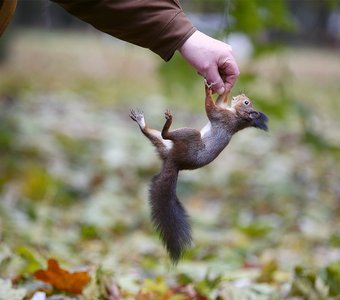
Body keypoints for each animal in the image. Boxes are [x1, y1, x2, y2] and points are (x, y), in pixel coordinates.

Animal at [130, 84, 268, 262]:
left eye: (246, 102)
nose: (242, 94)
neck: (237, 118)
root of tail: (174, 162)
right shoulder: (224, 110)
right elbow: (220, 101)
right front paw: (224, 88)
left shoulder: (222, 117)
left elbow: (210, 108)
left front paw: (208, 89)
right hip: (166, 146)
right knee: (153, 135)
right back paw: (142, 122)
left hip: (189, 135)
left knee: (165, 135)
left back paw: (168, 123)